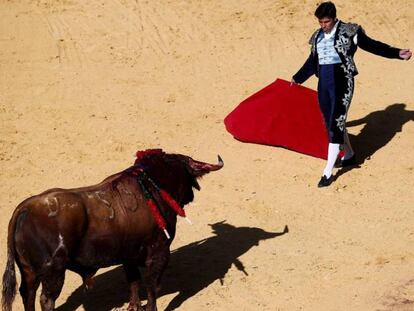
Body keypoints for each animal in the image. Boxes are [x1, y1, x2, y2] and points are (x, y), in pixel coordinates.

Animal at [1, 149, 225, 311]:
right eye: (186, 174)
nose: (190, 195)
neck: (152, 186)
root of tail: (25, 208)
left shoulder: (129, 255)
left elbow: (133, 281)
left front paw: (134, 307)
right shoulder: (159, 252)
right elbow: (151, 286)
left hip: (29, 271)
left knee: (27, 293)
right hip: (53, 271)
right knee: (45, 299)